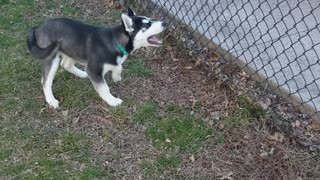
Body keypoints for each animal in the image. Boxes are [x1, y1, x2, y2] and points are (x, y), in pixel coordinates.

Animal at [26, 7, 166, 108]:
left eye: (150, 19)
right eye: (146, 25)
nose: (165, 23)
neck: (115, 40)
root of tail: (37, 27)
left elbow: (118, 66)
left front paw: (116, 76)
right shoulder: (94, 70)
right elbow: (104, 88)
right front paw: (112, 101)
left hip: (73, 48)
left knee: (66, 64)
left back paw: (82, 74)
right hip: (52, 57)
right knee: (46, 81)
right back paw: (51, 100)